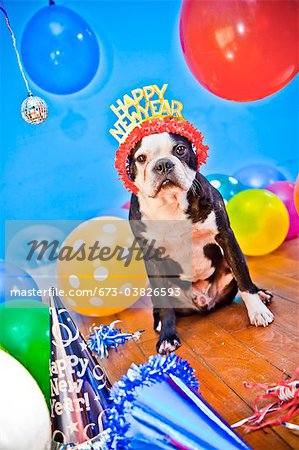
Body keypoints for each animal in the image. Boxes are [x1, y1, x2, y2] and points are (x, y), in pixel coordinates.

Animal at [127, 131, 274, 356]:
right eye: (141, 158)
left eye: (180, 149)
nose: (163, 164)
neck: (171, 204)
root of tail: (204, 302)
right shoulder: (151, 258)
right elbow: (165, 306)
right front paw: (167, 337)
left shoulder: (226, 237)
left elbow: (243, 277)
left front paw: (257, 311)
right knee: (159, 304)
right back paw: (158, 322)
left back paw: (261, 295)